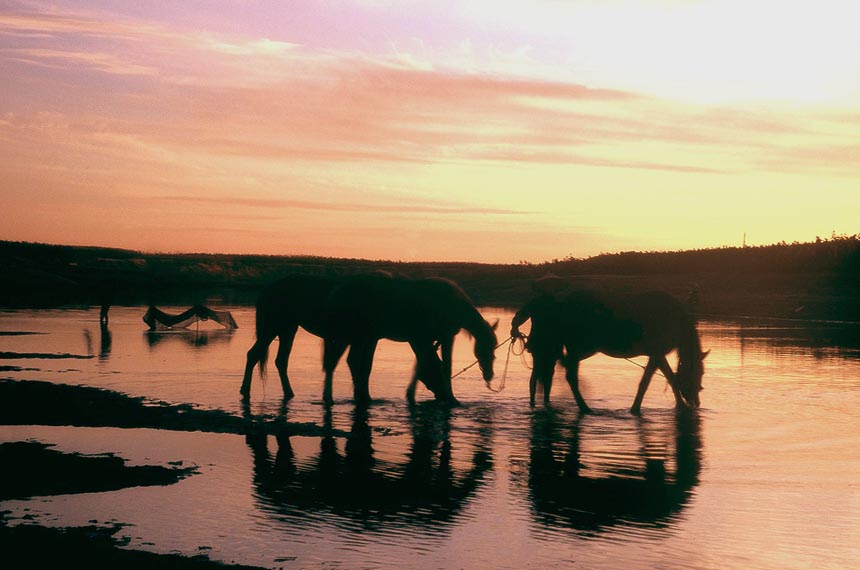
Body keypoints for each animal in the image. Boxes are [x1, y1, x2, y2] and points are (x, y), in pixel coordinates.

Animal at [320, 272, 498, 402]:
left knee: (348, 362)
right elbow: (443, 366)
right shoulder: (437, 337)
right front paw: (450, 399)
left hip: (361, 336)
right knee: (341, 362)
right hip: (351, 335)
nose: (489, 375)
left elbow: (425, 365)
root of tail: (336, 292)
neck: (453, 306)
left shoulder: (427, 339)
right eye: (485, 348)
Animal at [520, 288, 708, 412]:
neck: (674, 320)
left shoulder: (656, 355)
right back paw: (585, 408)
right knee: (570, 376)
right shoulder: (657, 353)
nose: (696, 403)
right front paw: (679, 406)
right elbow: (661, 380)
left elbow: (658, 379)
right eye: (698, 373)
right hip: (580, 349)